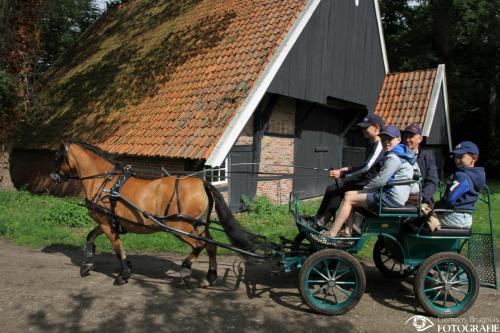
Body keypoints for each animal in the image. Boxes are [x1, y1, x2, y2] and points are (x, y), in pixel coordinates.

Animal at [51, 140, 256, 286]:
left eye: (57, 156)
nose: (53, 176)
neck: (104, 182)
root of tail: (203, 183)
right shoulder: (107, 222)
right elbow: (90, 237)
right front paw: (86, 265)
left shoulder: (106, 223)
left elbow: (118, 248)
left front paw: (123, 274)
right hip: (198, 225)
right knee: (211, 245)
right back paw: (210, 276)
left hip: (179, 227)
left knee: (199, 245)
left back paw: (185, 269)